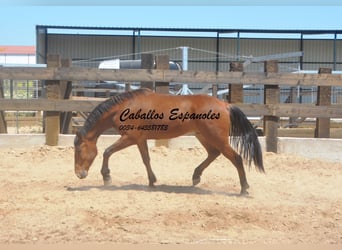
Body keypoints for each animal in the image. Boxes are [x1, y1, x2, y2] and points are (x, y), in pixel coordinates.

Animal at [73, 88, 264, 195]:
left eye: (79, 149)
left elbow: (107, 152)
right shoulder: (140, 139)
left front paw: (107, 177)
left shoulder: (130, 137)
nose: (79, 174)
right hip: (203, 136)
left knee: (236, 158)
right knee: (213, 153)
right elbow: (146, 159)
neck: (125, 107)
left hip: (216, 138)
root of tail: (225, 105)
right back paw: (196, 176)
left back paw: (244, 188)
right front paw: (152, 182)